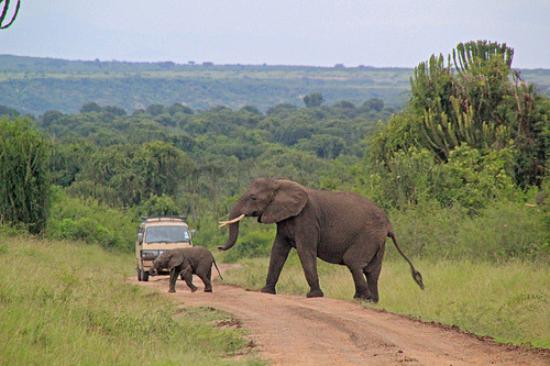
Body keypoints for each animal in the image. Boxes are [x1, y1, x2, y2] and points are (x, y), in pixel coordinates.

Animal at [218, 179, 424, 302]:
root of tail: (389, 224)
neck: (280, 183)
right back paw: (370, 301)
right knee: (372, 270)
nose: (219, 247)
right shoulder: (285, 220)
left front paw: (314, 296)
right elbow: (278, 250)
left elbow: (305, 251)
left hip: (368, 236)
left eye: (253, 198)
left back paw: (362, 299)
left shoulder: (306, 219)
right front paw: (266, 292)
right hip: (378, 240)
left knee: (353, 262)